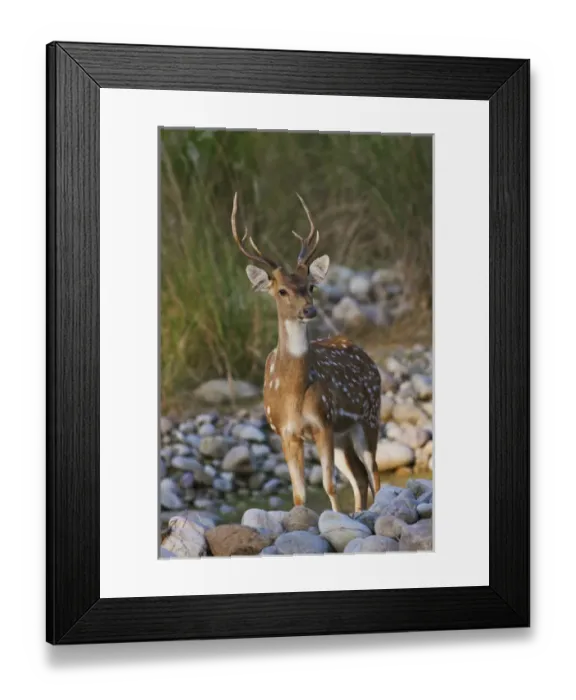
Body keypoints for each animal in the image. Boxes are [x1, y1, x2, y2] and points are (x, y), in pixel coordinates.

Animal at [231, 192, 382, 514]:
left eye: (310, 286)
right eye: (282, 291)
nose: (308, 310)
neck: (293, 392)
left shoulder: (323, 422)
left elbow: (328, 485)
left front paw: (336, 517)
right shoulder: (286, 433)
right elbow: (299, 495)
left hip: (368, 417)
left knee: (373, 472)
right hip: (343, 435)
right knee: (360, 477)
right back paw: (360, 512)